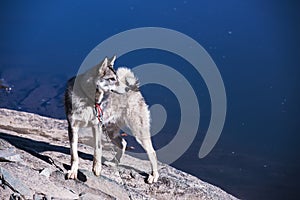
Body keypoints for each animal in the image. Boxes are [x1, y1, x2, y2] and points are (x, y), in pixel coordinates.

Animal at [64, 55, 159, 183]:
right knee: (123, 143)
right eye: (112, 79)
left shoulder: (96, 127)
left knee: (152, 152)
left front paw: (97, 168)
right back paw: (114, 163)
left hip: (139, 133)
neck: (87, 98)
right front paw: (73, 172)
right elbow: (74, 154)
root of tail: (135, 88)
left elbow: (97, 150)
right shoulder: (73, 127)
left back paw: (154, 175)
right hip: (110, 132)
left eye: (117, 78)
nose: (127, 89)